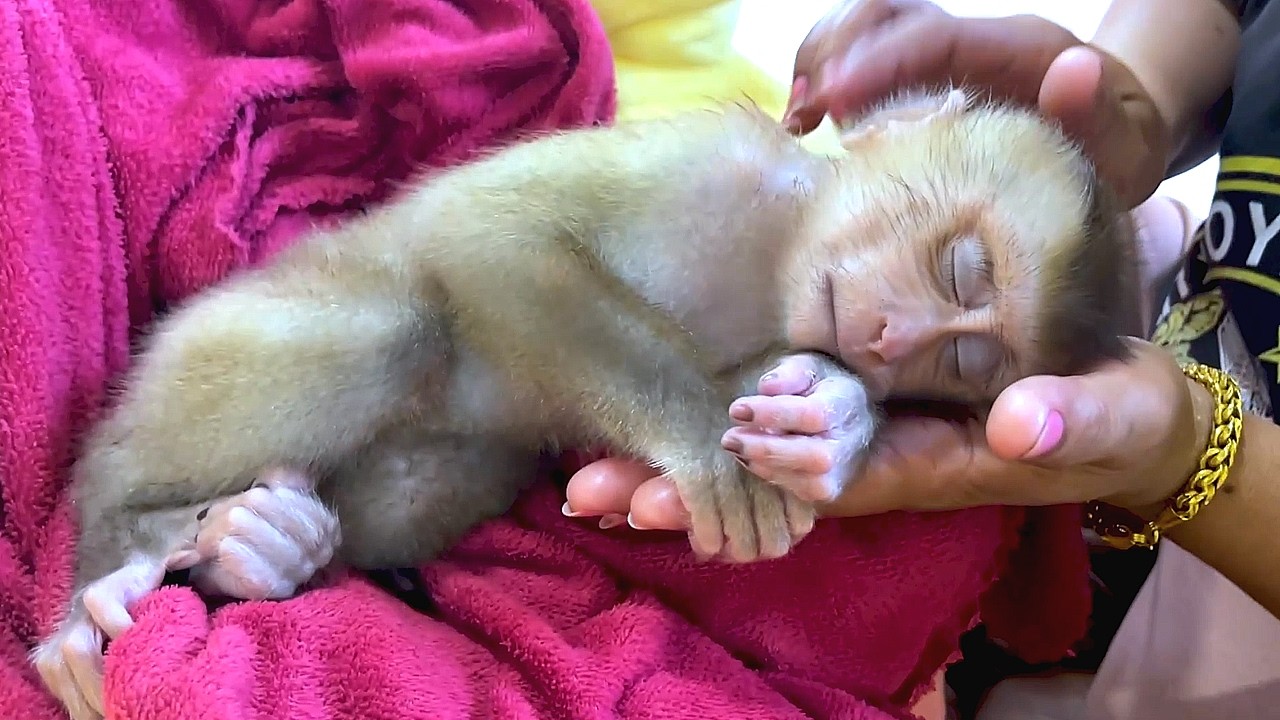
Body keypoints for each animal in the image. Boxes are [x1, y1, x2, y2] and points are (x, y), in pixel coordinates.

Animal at [32, 88, 1142, 720]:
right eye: (962, 268)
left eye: (960, 360)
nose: (887, 338)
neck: (776, 248)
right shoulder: (710, 163)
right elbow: (497, 236)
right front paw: (709, 450)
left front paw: (831, 416)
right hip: (218, 330)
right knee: (400, 326)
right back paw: (117, 544)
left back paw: (255, 549)